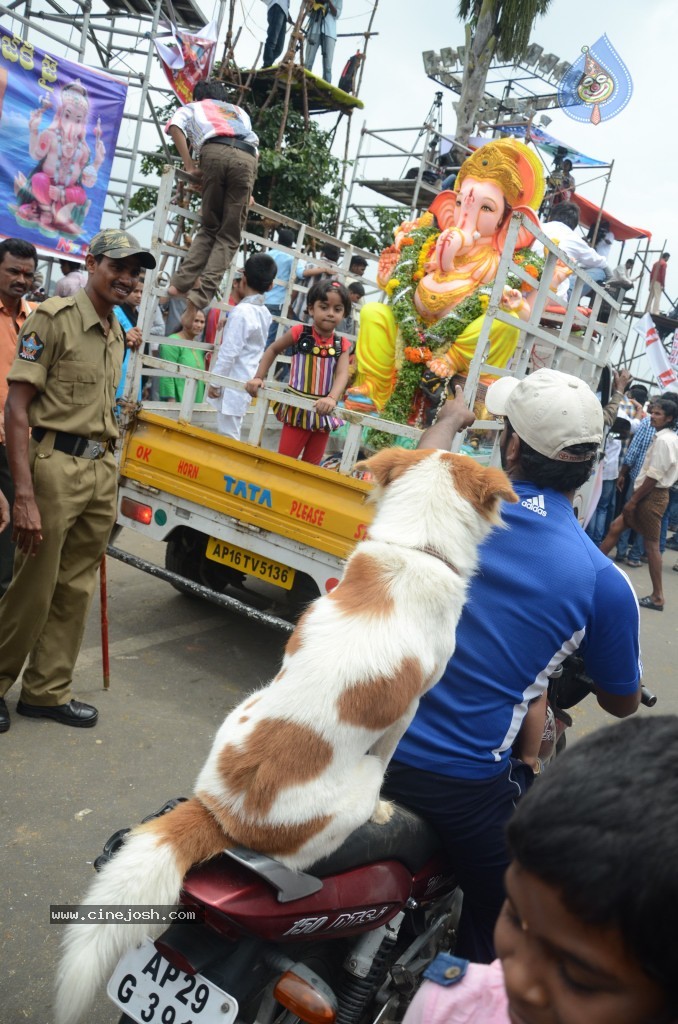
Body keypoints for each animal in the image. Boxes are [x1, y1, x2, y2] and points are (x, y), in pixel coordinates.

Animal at [57, 448, 516, 1024]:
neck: (417, 546)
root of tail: (220, 814)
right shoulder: (410, 709)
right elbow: (393, 748)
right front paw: (388, 808)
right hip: (355, 790)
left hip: (246, 703)